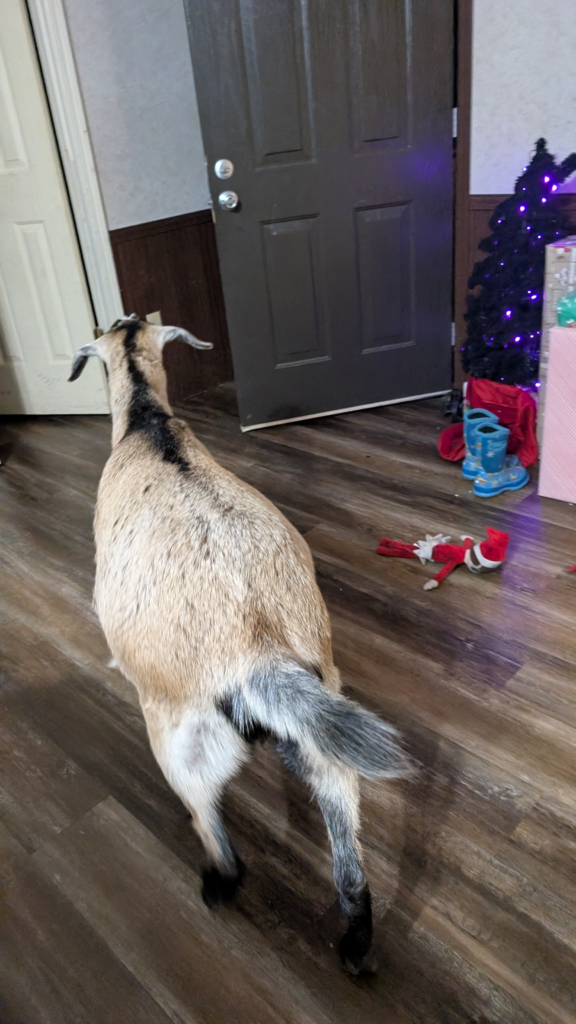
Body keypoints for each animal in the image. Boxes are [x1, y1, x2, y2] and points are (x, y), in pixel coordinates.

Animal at [69, 315, 413, 973]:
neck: (148, 425)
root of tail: (261, 657)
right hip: (324, 741)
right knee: (347, 853)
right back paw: (355, 943)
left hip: (180, 738)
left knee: (220, 841)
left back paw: (215, 882)